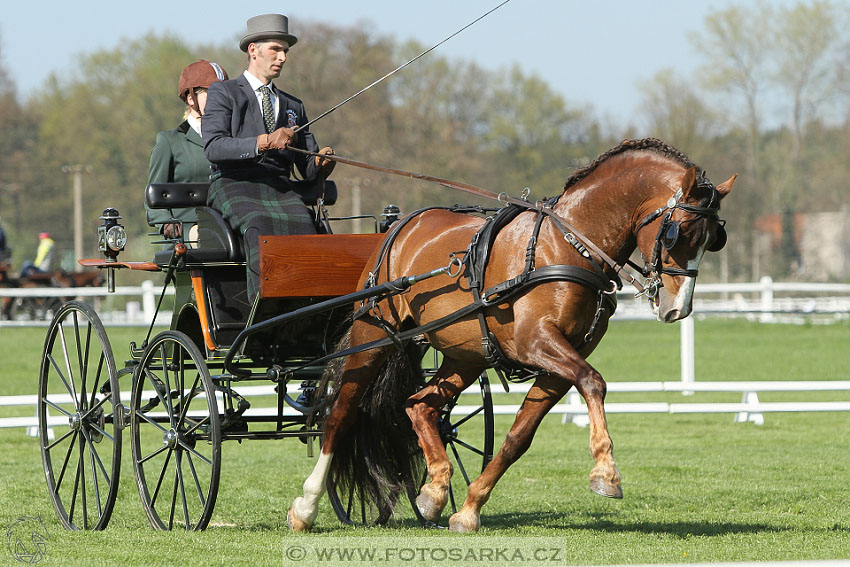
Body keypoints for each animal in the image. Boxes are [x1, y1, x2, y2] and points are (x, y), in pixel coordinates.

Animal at [288, 138, 732, 532]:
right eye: (680, 231)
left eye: (714, 240)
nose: (678, 308)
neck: (568, 246)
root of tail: (401, 225)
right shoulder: (537, 343)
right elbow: (594, 382)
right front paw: (606, 473)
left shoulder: (558, 364)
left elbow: (519, 437)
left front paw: (468, 510)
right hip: (373, 335)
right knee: (340, 414)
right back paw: (307, 506)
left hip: (465, 354)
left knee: (419, 406)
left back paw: (433, 491)